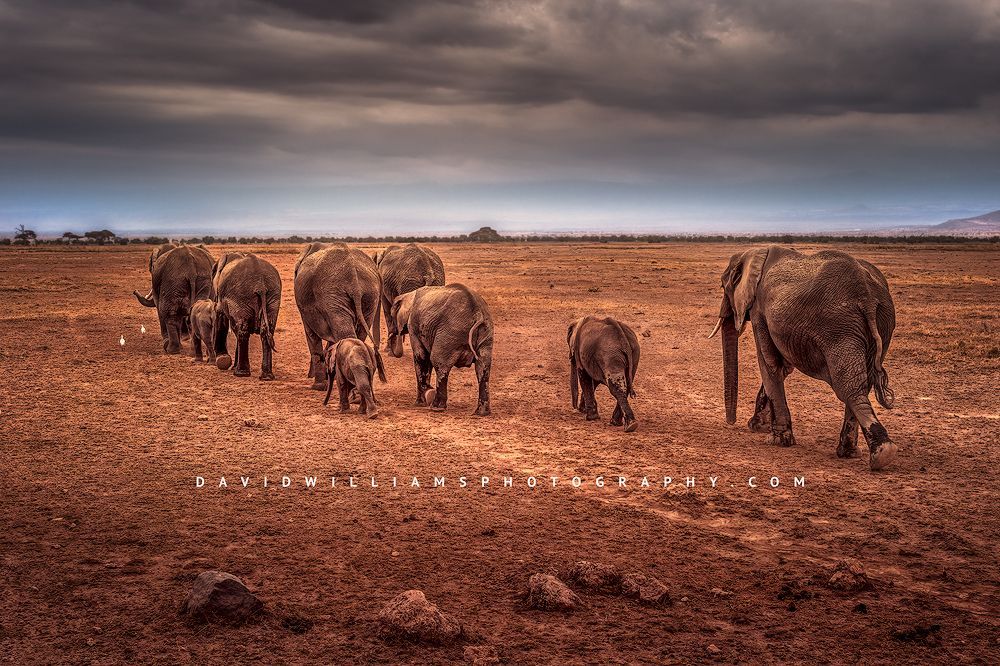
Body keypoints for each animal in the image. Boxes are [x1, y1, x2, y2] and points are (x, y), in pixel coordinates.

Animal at [294, 242, 386, 390]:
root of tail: (352, 272)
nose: (309, 376)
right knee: (359, 334)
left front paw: (319, 386)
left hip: (332, 291)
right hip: (370, 295)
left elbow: (312, 336)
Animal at [390, 283, 493, 416]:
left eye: (392, 316)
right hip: (486, 331)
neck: (409, 294)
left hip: (449, 333)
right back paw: (481, 413)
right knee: (483, 368)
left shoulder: (413, 325)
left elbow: (421, 357)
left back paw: (436, 407)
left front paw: (420, 402)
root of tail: (477, 312)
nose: (393, 332)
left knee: (439, 363)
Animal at [709, 245, 897, 471]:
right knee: (861, 384)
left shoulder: (759, 310)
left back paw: (881, 454)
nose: (732, 422)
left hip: (838, 330)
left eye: (723, 285)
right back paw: (850, 452)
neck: (755, 254)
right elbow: (783, 367)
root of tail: (868, 297)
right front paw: (757, 426)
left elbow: (769, 363)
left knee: (849, 388)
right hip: (882, 325)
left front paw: (777, 440)